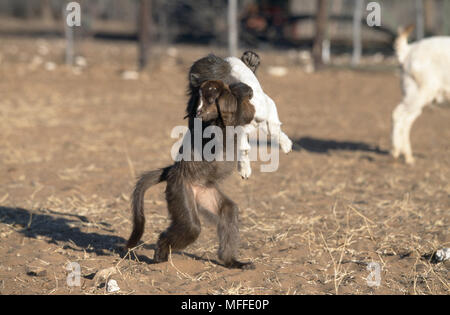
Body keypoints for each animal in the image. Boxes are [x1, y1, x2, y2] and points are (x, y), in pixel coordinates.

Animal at [390, 25, 450, 164]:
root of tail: (408, 50)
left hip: (412, 90)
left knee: (407, 117)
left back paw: (405, 154)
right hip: (420, 91)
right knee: (399, 114)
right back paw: (401, 154)